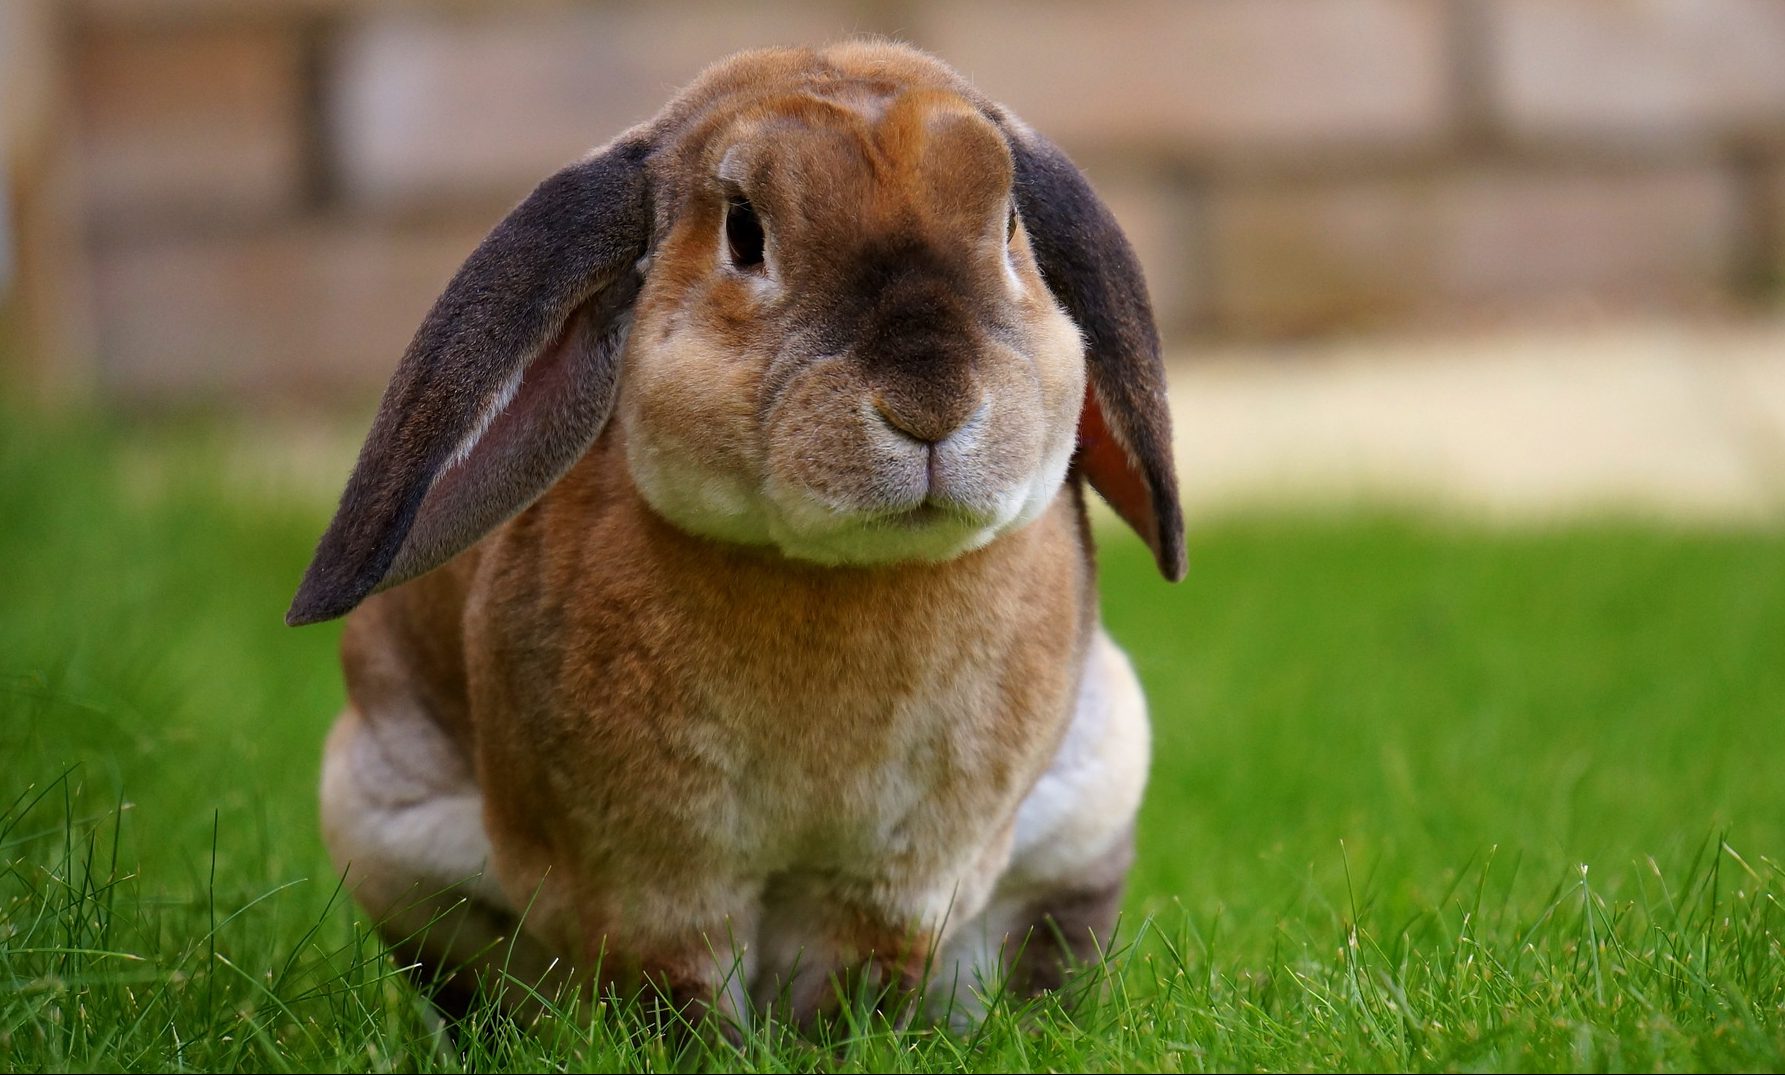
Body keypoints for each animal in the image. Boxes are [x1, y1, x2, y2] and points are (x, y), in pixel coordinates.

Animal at [288, 40, 1183, 1035]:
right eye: (744, 233)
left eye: (1011, 223)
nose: (930, 403)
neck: (838, 576)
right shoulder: (651, 882)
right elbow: (675, 992)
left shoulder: (895, 883)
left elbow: (855, 984)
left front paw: (837, 1045)